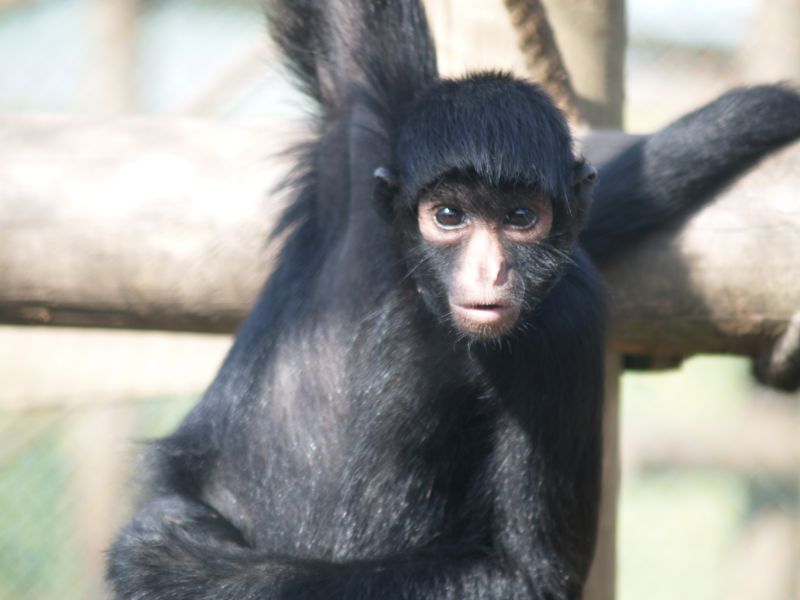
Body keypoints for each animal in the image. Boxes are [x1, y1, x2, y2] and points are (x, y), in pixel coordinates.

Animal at [109, 1, 800, 600]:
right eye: (449, 216)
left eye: (520, 218)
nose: (490, 269)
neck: (426, 307)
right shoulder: (366, 137)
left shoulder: (566, 325)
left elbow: (527, 575)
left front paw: (186, 568)